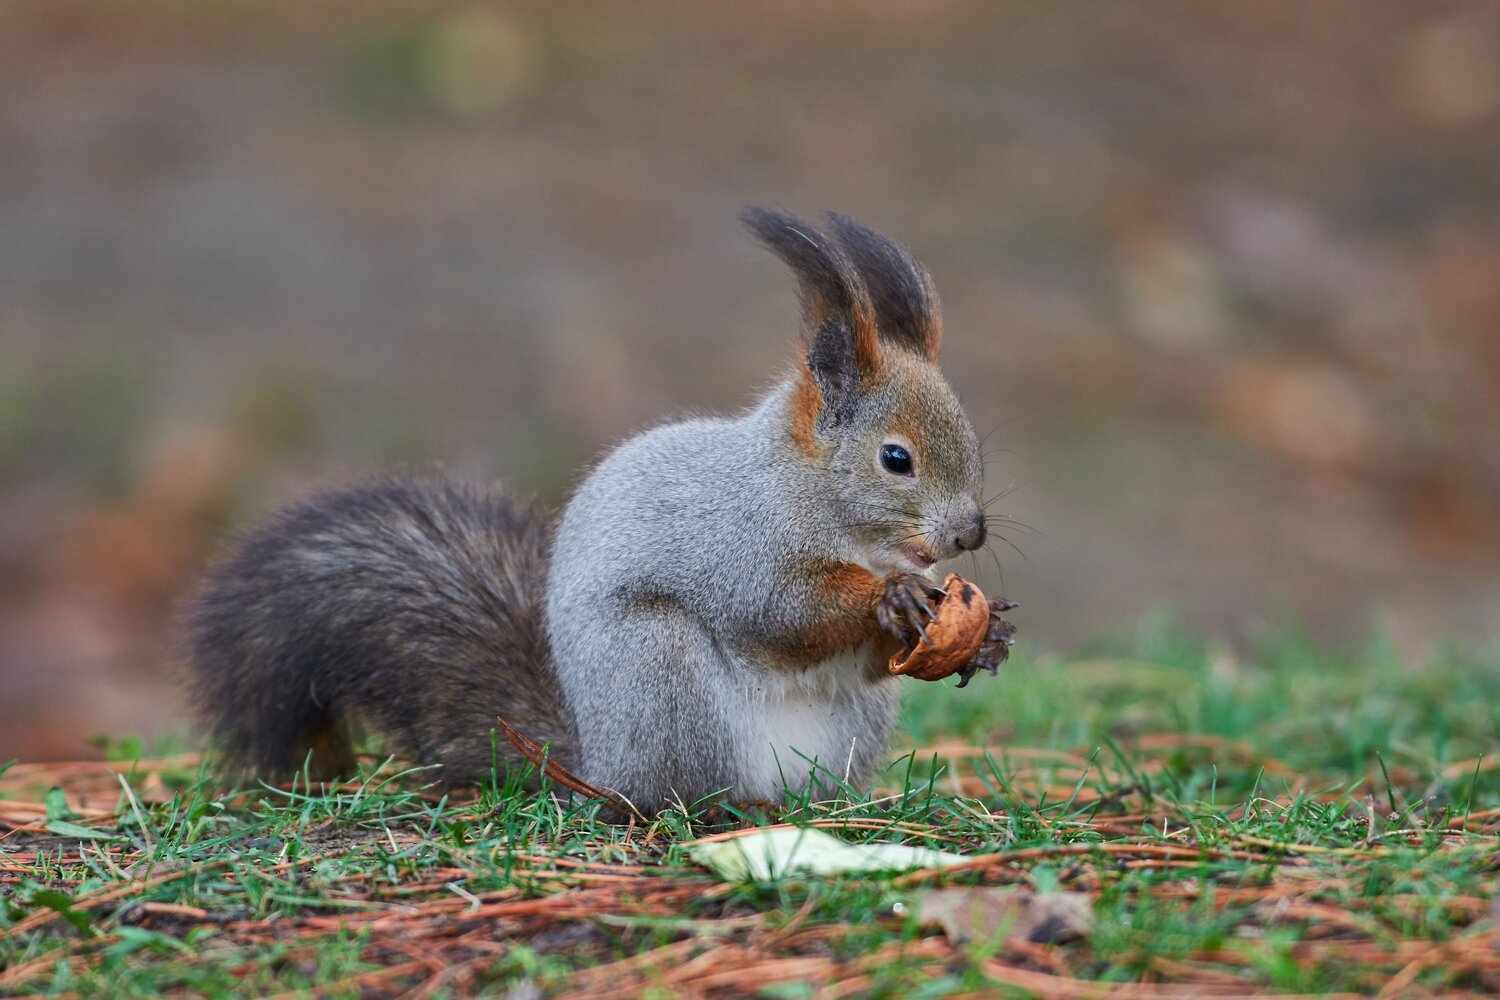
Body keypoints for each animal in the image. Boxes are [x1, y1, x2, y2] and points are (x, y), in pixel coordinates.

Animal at [186, 208, 1016, 817]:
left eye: (972, 436)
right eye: (896, 459)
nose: (969, 532)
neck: (807, 491)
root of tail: (593, 761)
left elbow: (878, 655)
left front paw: (983, 638)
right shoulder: (738, 542)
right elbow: (779, 612)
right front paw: (892, 597)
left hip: (852, 722)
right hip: (660, 672)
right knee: (674, 797)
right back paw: (727, 809)